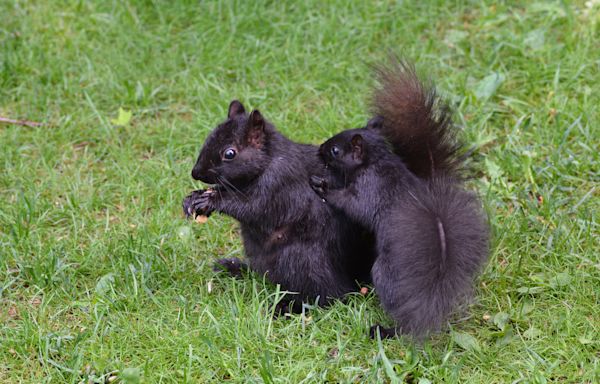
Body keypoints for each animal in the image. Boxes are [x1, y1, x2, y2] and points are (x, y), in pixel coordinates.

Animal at [182, 101, 376, 312]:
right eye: (209, 137)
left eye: (230, 153)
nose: (195, 173)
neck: (268, 160)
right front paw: (194, 198)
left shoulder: (279, 182)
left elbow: (252, 207)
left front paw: (210, 201)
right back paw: (236, 268)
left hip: (302, 260)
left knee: (330, 296)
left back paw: (287, 308)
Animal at [312, 61, 490, 338]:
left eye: (335, 150)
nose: (320, 148)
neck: (375, 160)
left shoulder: (370, 189)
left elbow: (353, 205)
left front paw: (323, 186)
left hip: (384, 274)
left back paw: (386, 330)